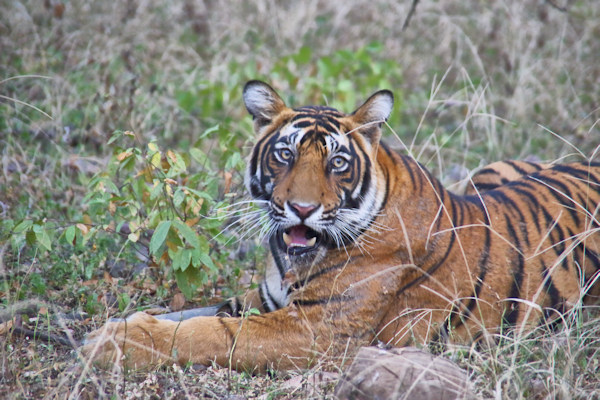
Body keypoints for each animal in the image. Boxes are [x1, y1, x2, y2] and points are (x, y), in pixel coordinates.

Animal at [82, 80, 600, 372]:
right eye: (285, 154)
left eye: (337, 163)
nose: (302, 209)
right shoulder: (262, 300)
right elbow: (193, 314)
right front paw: (118, 327)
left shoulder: (313, 330)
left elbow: (210, 333)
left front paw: (115, 343)